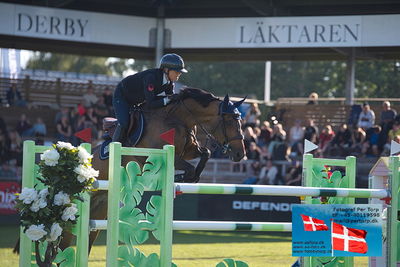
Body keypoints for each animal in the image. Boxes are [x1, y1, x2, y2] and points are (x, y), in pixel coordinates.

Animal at [57, 87, 245, 253]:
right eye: (230, 121)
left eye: (239, 120)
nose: (240, 154)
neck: (178, 120)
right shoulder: (154, 156)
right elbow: (190, 167)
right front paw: (183, 177)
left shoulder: (189, 151)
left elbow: (205, 153)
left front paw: (190, 178)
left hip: (100, 209)